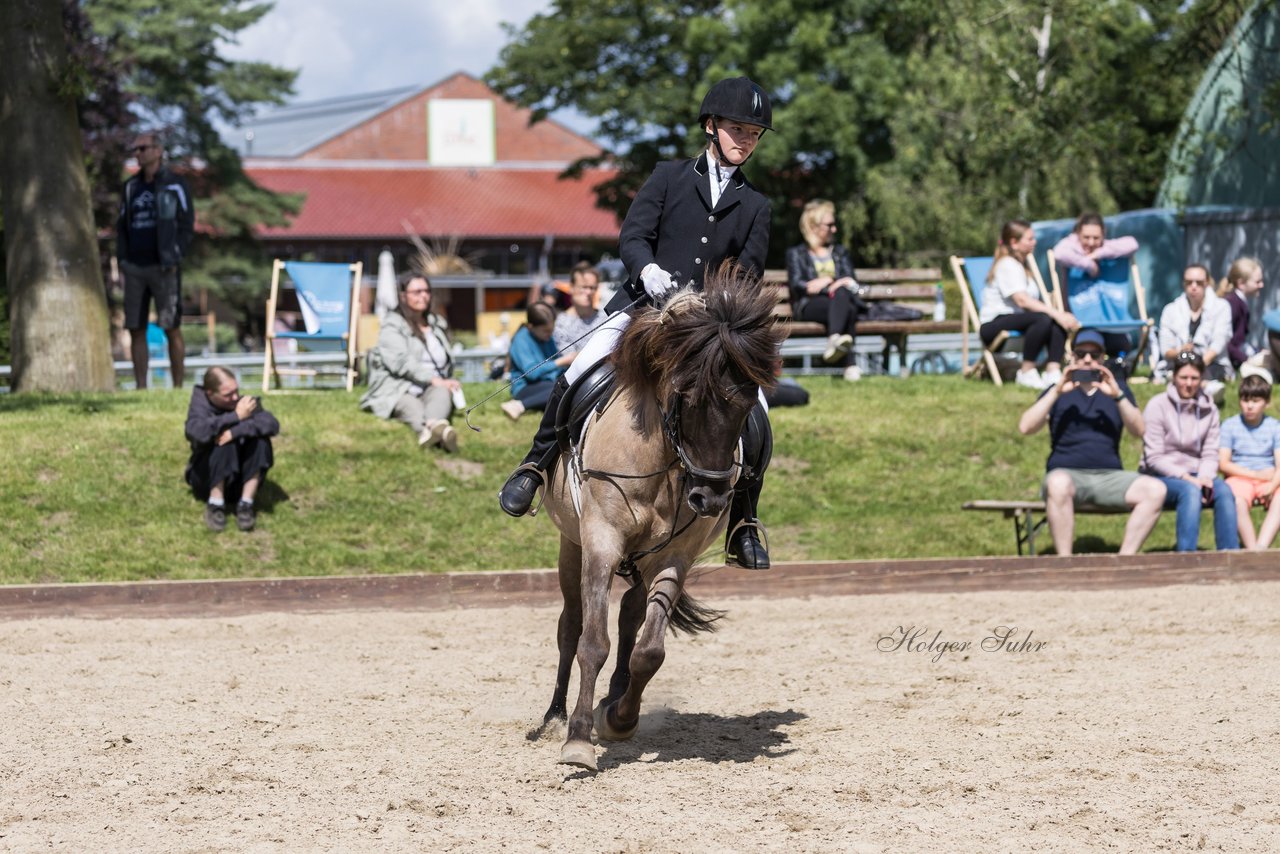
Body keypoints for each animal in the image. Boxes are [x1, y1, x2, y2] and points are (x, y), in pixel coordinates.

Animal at [527, 258, 778, 768]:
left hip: (643, 559)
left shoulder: (674, 556)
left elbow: (648, 650)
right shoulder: (601, 541)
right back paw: (555, 716)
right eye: (686, 396)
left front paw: (619, 718)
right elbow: (592, 642)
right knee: (571, 624)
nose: (711, 499)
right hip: (571, 543)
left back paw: (614, 697)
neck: (663, 458)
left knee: (629, 617)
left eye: (747, 405)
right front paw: (578, 739)